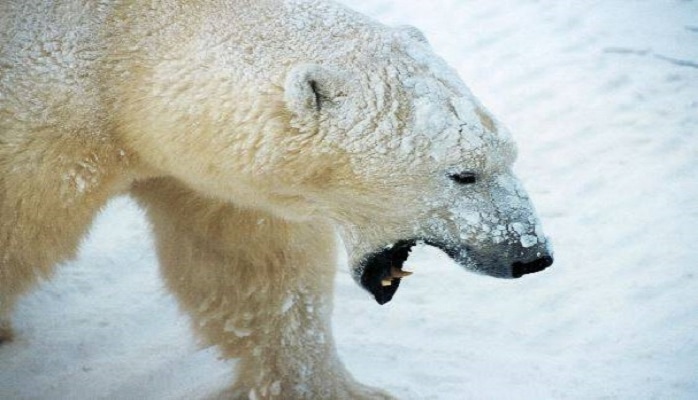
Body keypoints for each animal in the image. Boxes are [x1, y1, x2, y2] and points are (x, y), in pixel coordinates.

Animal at [2, 0, 552, 400]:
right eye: (464, 174)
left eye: (510, 154)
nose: (531, 255)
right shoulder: (40, 142)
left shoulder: (212, 178)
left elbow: (253, 270)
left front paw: (333, 390)